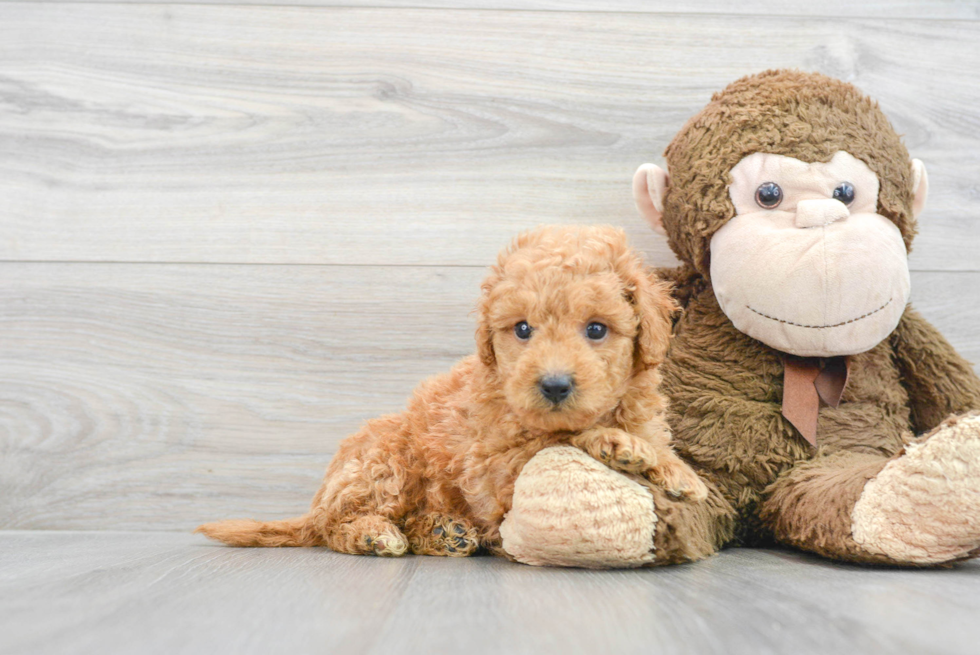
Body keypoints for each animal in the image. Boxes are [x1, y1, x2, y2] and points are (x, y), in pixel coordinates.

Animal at [197, 226, 704, 560]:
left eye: (596, 329)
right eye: (522, 329)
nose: (555, 384)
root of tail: (317, 500)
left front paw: (669, 467)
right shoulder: (493, 471)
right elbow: (558, 438)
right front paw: (629, 449)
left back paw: (445, 532)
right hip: (385, 459)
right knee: (332, 527)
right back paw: (373, 535)